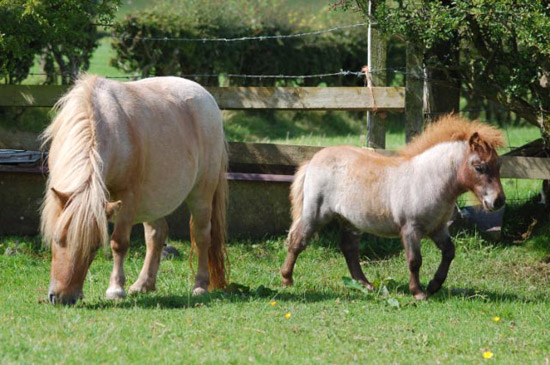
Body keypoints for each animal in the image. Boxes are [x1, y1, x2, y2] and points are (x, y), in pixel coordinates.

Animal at [40, 74, 227, 304]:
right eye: (57, 239)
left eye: (93, 248)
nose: (63, 298)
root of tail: (206, 97)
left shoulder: (127, 199)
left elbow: (119, 243)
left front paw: (115, 289)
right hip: (152, 200)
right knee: (157, 234)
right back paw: (143, 284)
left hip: (201, 194)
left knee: (201, 235)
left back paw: (200, 286)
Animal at [284, 116, 508, 298]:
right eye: (479, 167)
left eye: (499, 166)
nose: (498, 201)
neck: (428, 179)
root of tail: (314, 159)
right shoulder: (410, 229)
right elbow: (414, 260)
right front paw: (418, 293)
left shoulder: (437, 229)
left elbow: (449, 252)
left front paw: (434, 285)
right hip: (315, 214)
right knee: (298, 241)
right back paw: (287, 279)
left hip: (350, 221)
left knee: (349, 249)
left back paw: (366, 285)